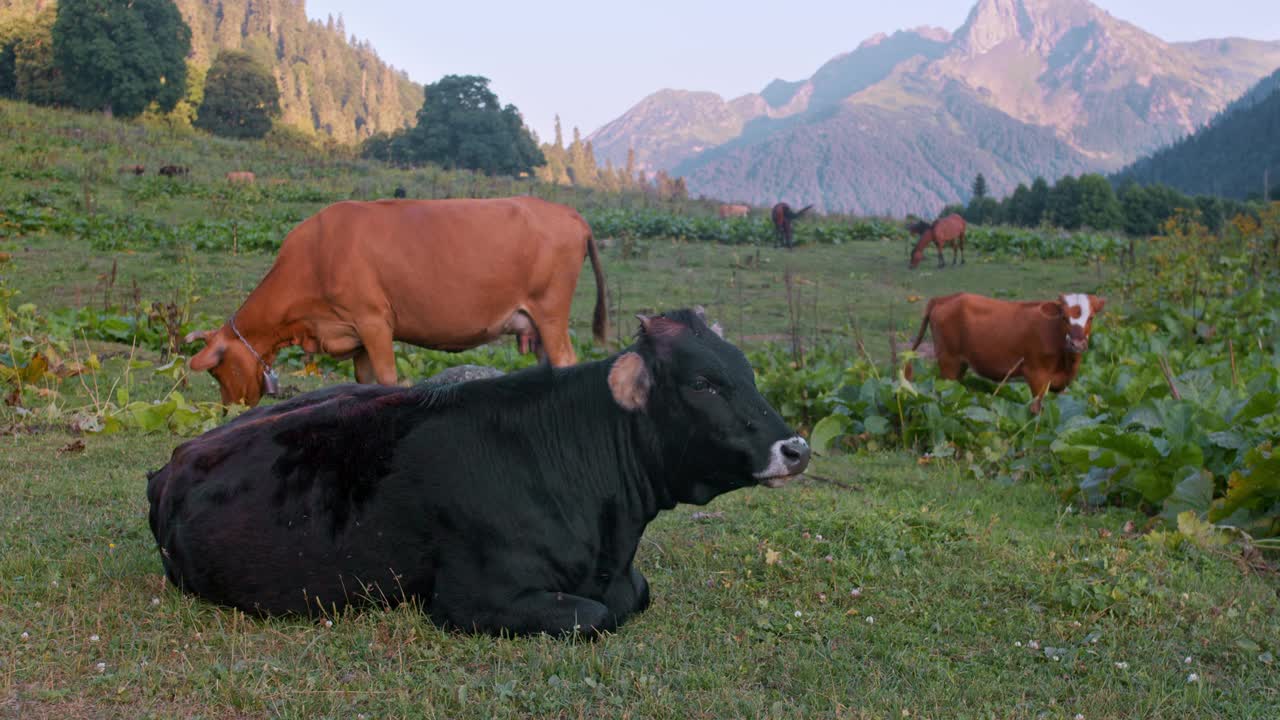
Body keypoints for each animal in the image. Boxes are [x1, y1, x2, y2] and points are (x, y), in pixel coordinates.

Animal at [149, 308, 808, 632]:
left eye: (747, 371)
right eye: (703, 383)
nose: (797, 447)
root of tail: (175, 461)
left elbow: (636, 595)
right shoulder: (471, 599)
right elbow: (594, 617)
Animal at [183, 196, 611, 407]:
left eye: (217, 370)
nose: (228, 410)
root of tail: (568, 213)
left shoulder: (374, 322)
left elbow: (388, 380)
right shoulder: (353, 334)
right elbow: (364, 381)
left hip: (551, 311)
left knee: (567, 361)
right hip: (535, 322)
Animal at [906, 292, 1105, 412]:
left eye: (1091, 317)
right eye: (1063, 316)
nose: (1077, 344)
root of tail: (945, 298)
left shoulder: (1061, 384)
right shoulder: (1036, 376)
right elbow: (1036, 411)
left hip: (959, 366)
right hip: (948, 361)